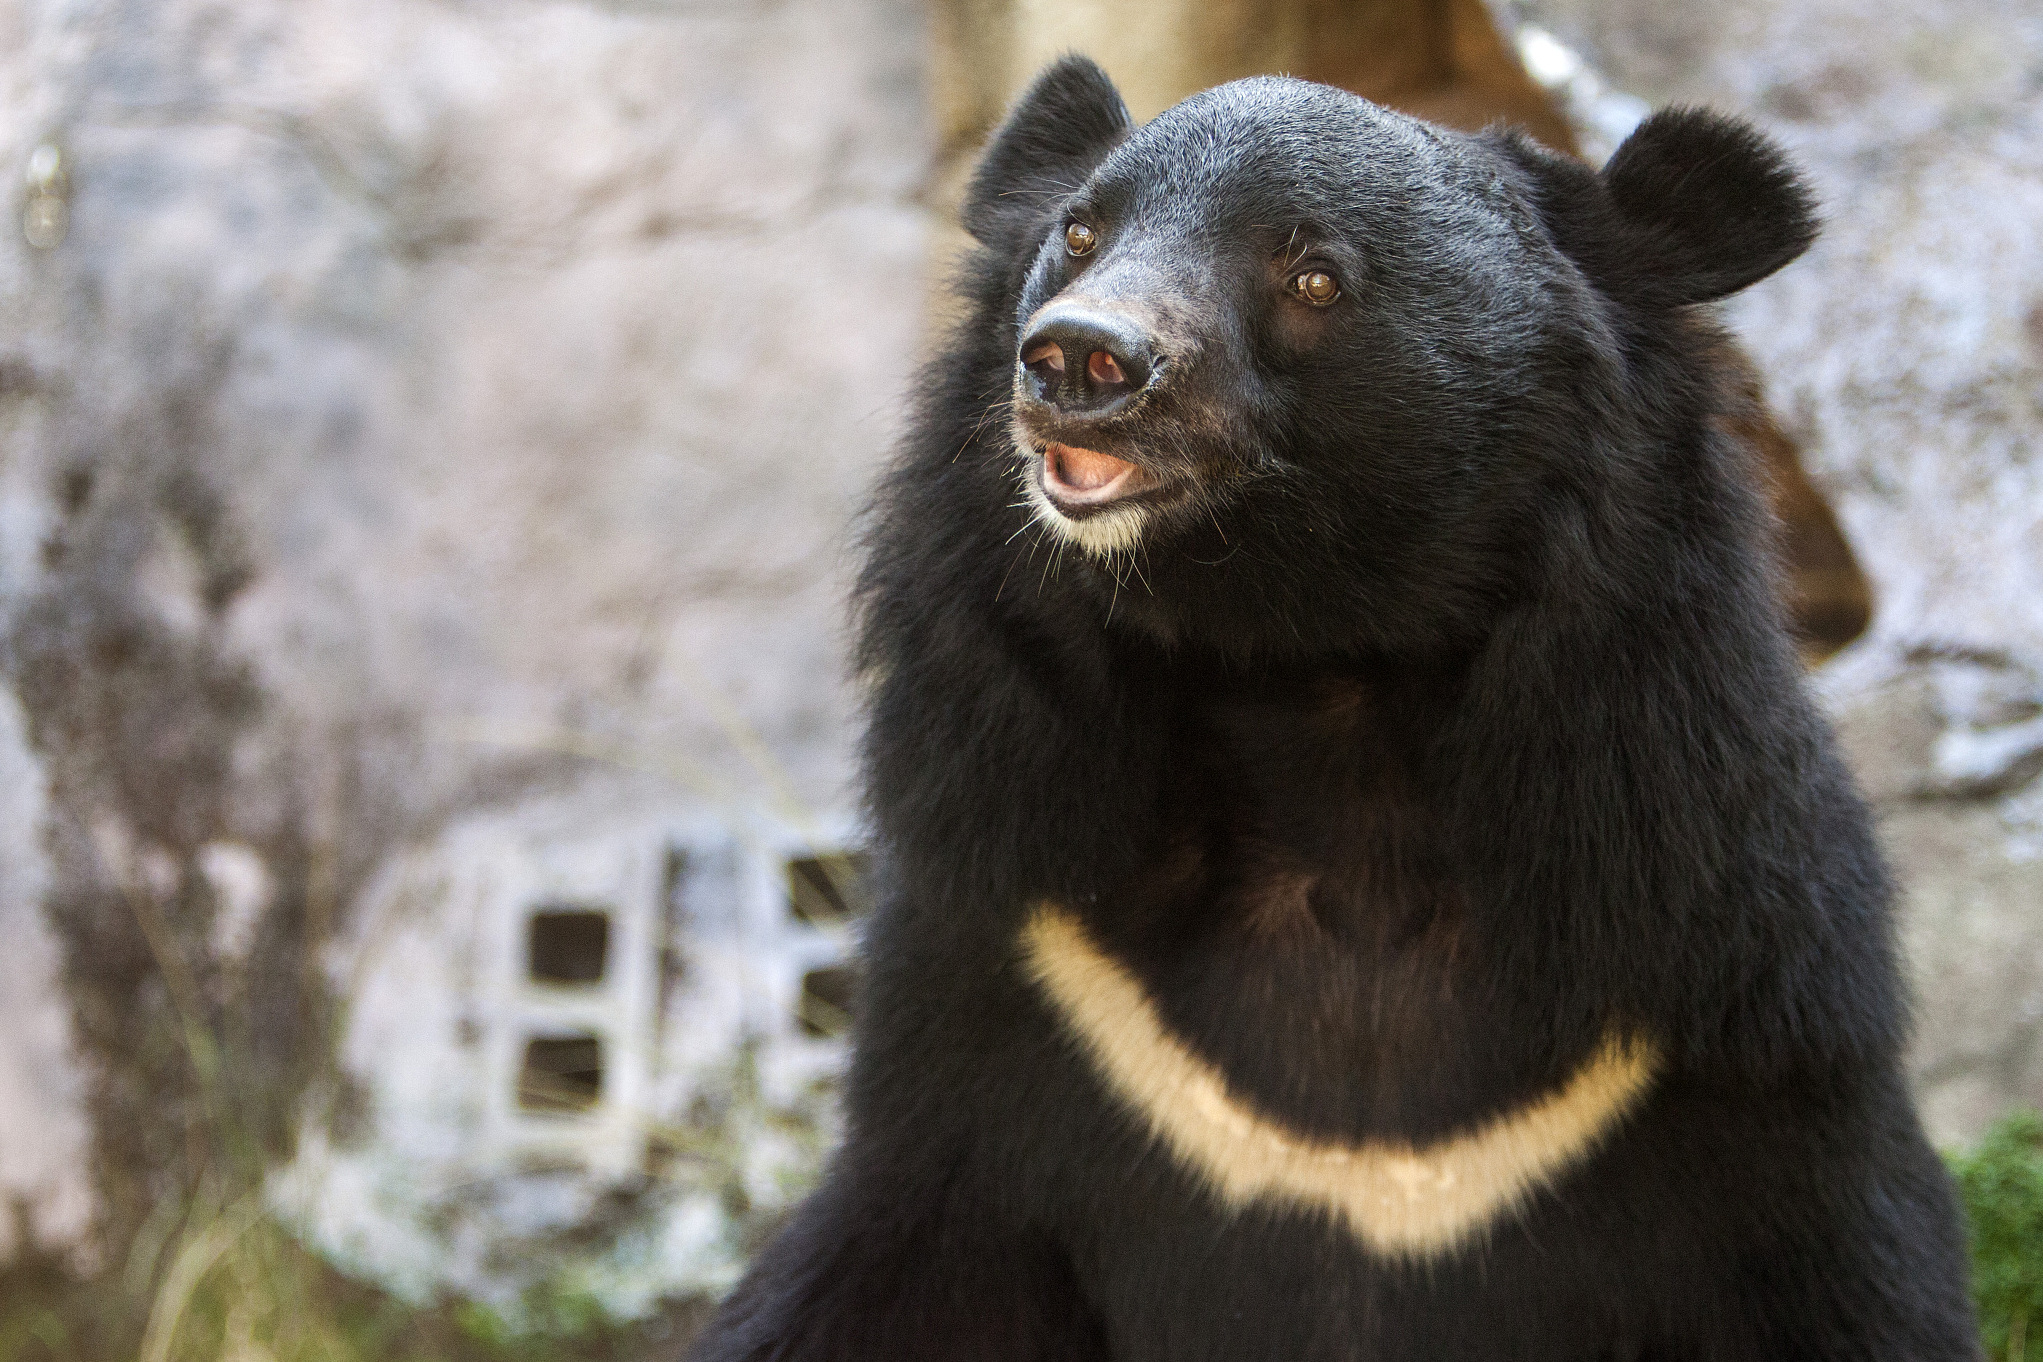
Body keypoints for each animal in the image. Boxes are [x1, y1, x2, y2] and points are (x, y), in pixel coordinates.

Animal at [686, 58, 1977, 1355]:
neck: (1321, 691)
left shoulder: (1729, 1029)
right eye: (1082, 233)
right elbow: (885, 1277)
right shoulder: (1020, 971)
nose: (1081, 361)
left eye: (1313, 275)